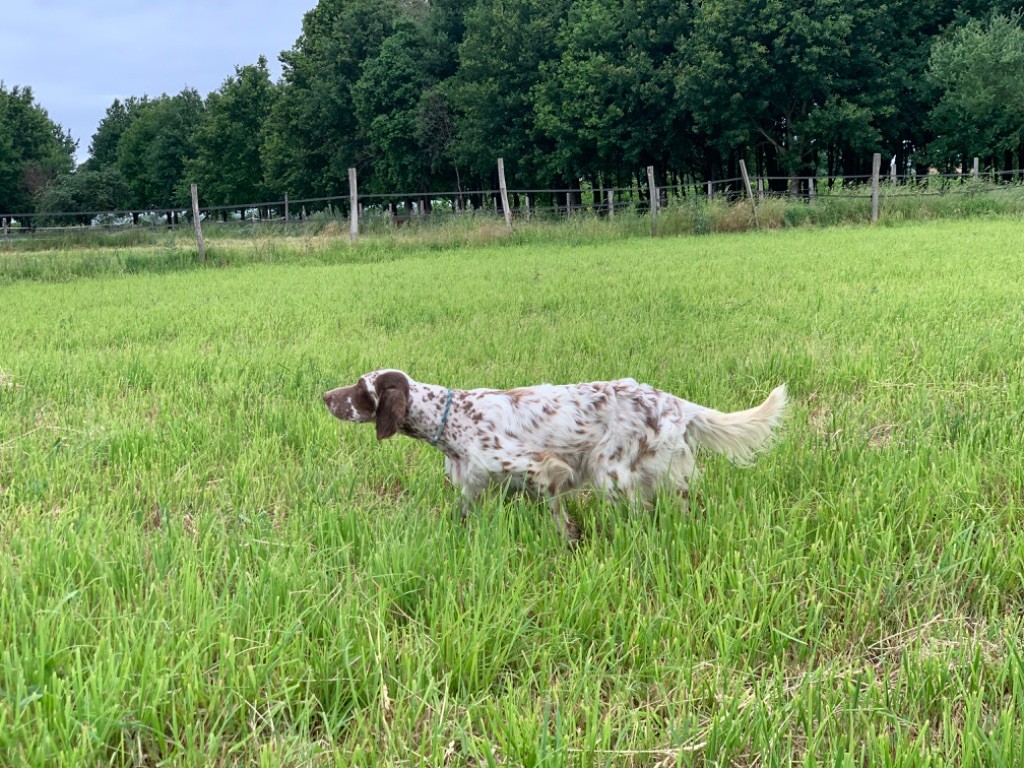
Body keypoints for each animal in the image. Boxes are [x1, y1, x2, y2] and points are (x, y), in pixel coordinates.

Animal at [323, 370, 786, 540]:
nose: (325, 396)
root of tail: (674, 401)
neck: (451, 417)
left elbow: (556, 510)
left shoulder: (540, 467)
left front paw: (570, 541)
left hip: (611, 472)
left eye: (359, 388)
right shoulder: (476, 482)